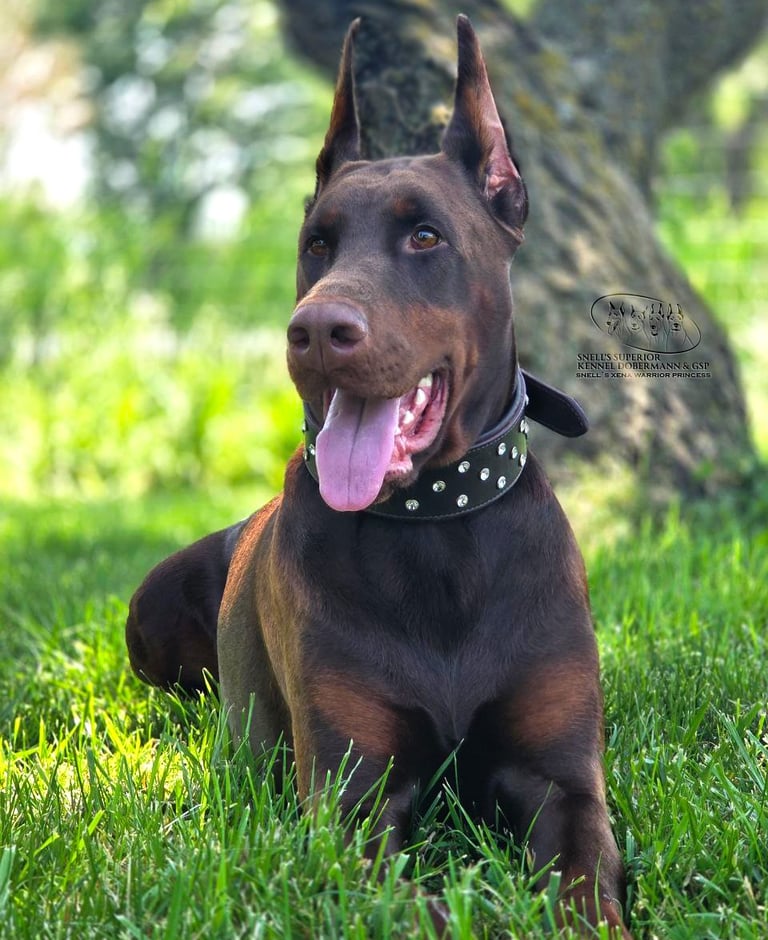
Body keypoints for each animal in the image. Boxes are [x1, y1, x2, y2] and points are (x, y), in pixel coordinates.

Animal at [126, 17, 631, 936]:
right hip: (149, 611)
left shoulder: (564, 778)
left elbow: (584, 881)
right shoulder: (351, 801)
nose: (317, 329)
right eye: (317, 244)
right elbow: (410, 901)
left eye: (425, 236)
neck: (437, 528)